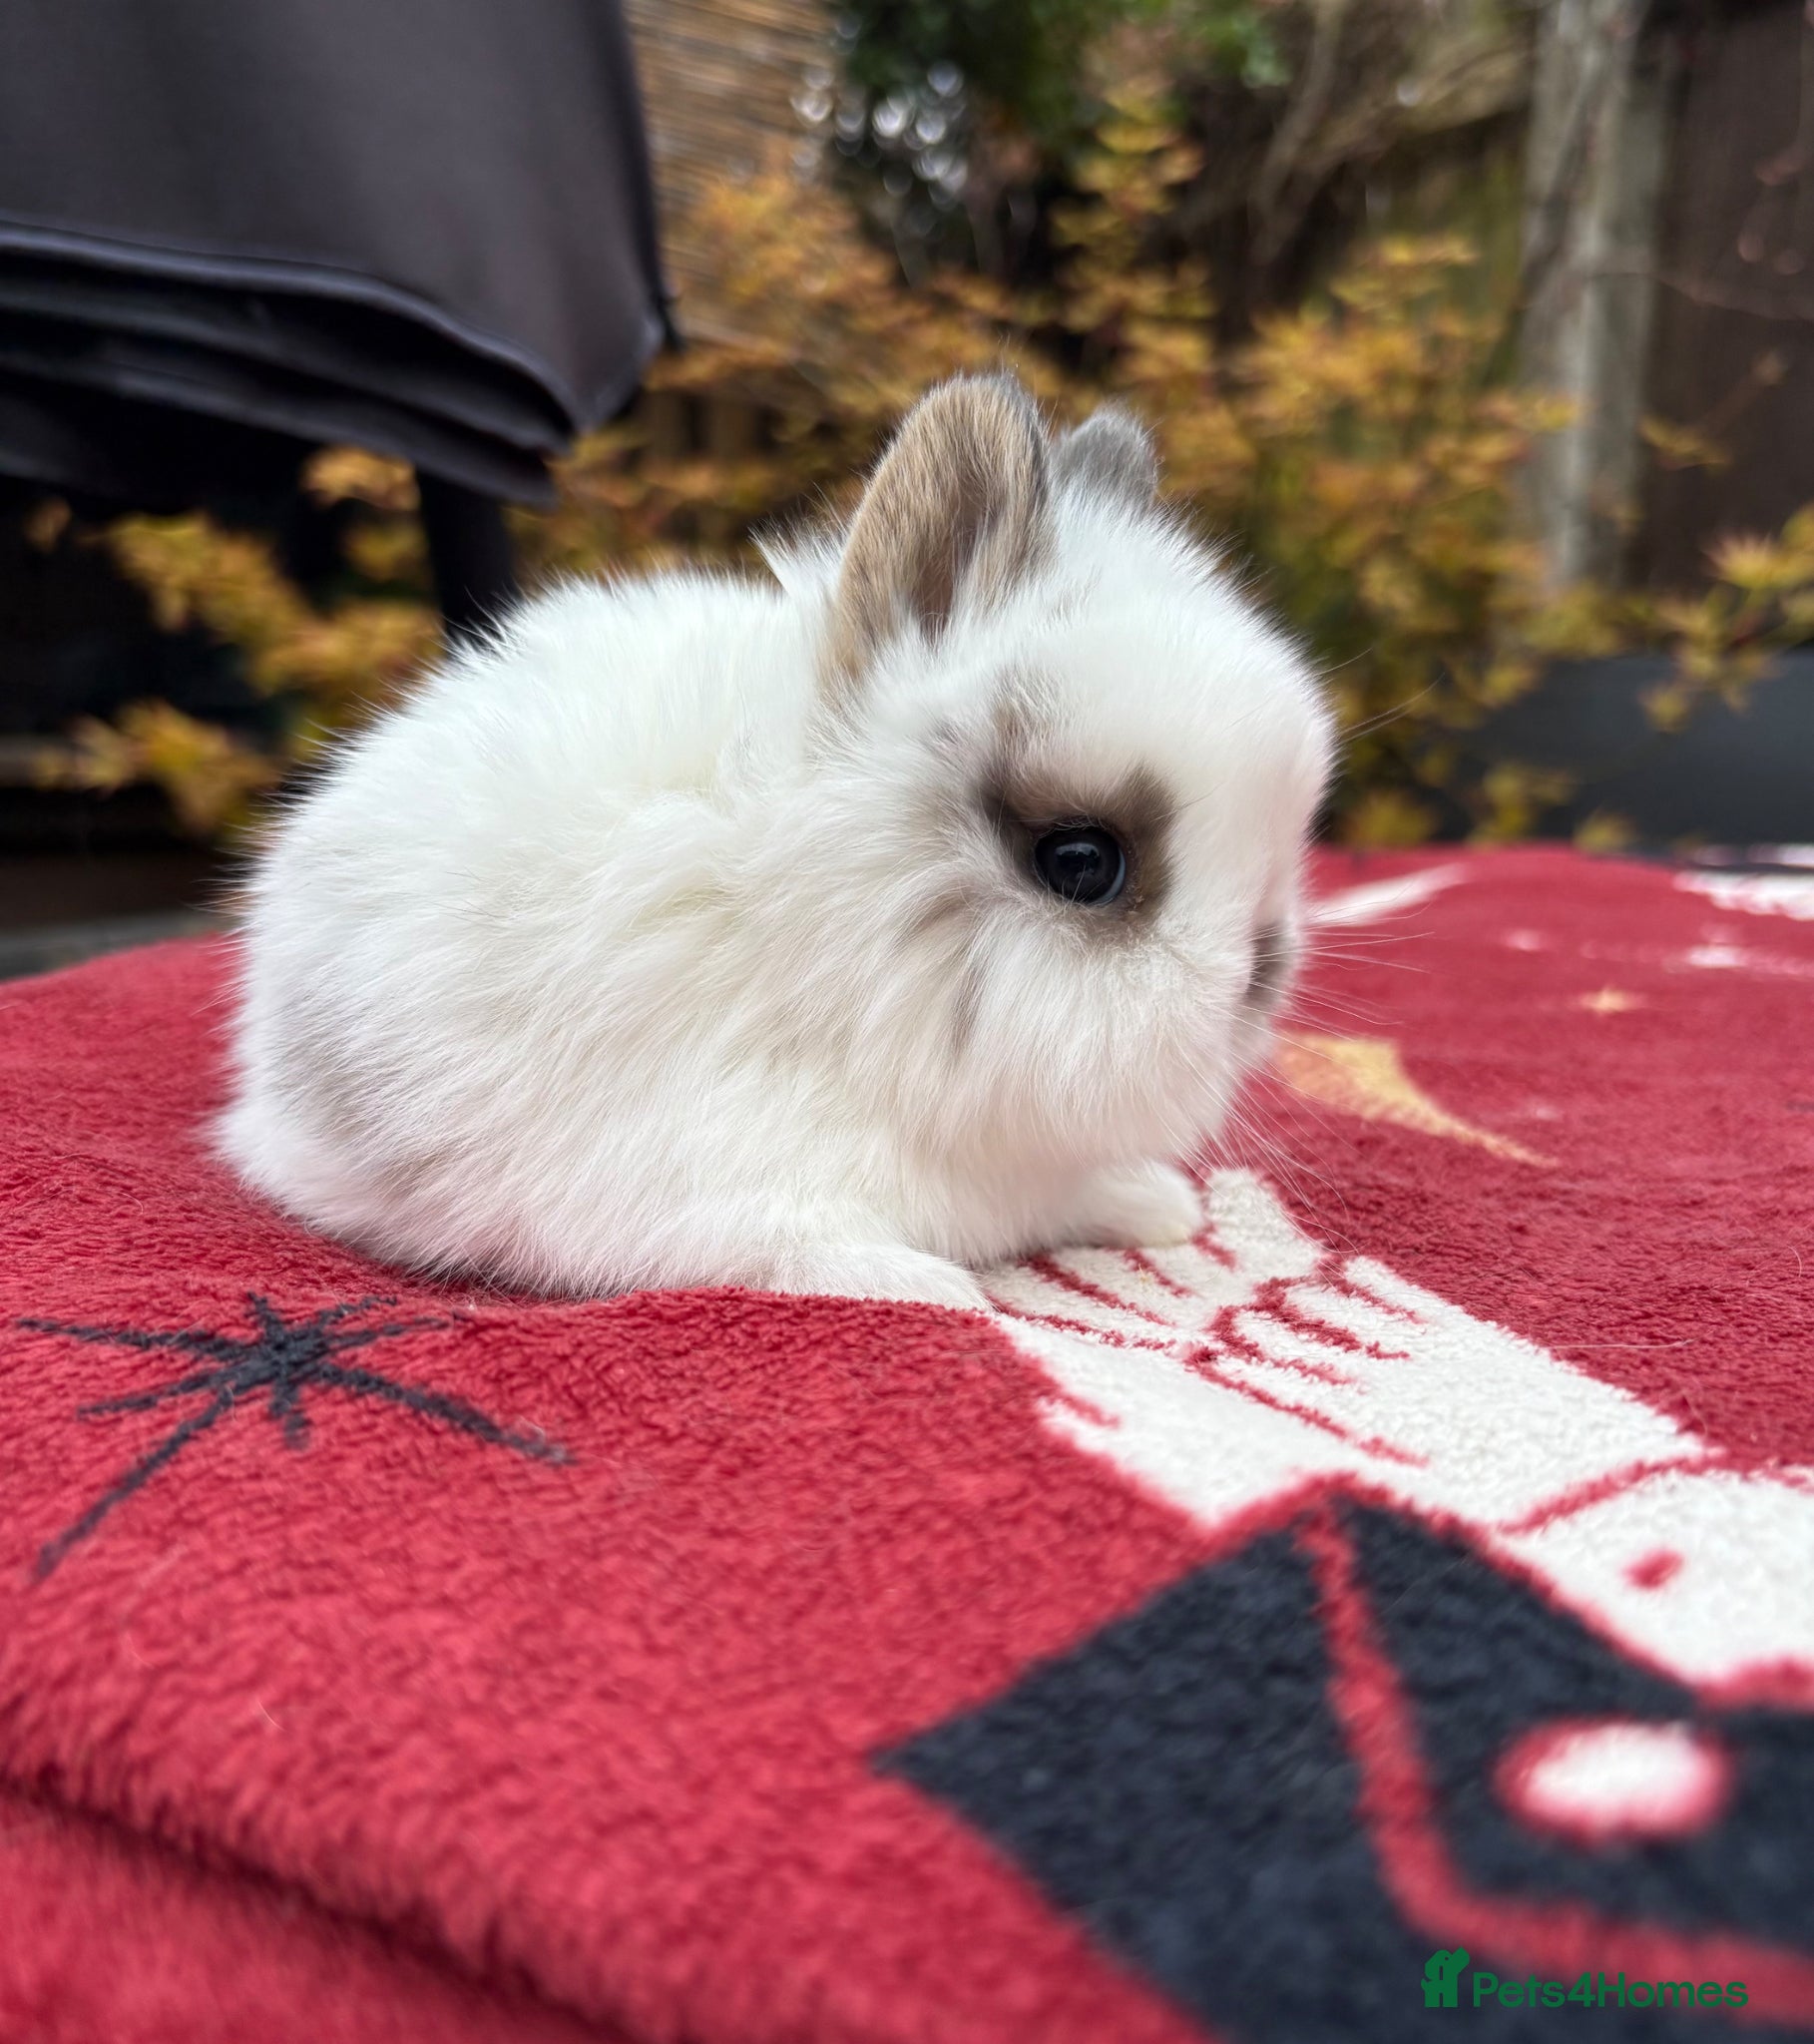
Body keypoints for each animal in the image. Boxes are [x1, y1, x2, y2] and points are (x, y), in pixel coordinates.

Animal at [220, 373, 1333, 1311]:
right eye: (1081, 862)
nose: (1258, 983)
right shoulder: (697, 1181)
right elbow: (796, 1246)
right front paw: (940, 1291)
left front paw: (1156, 1206)